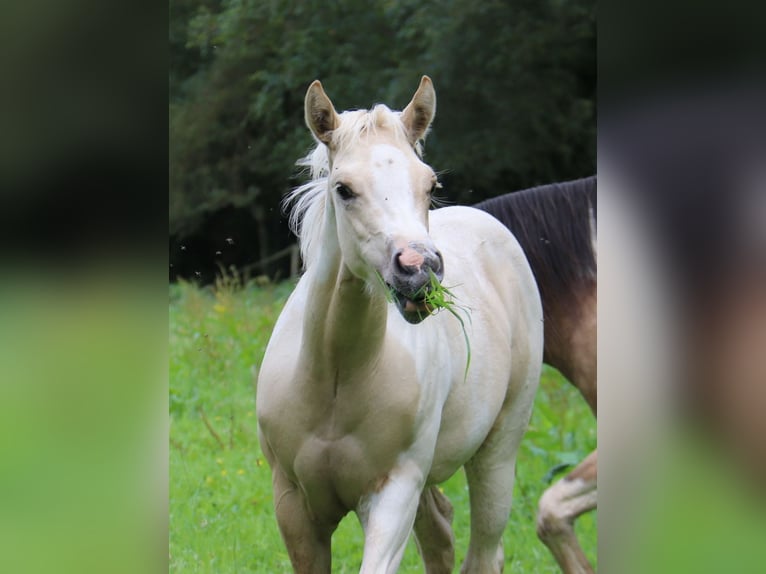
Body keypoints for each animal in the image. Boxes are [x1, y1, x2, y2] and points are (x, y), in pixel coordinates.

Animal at [258, 77, 544, 574]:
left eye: (429, 185)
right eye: (343, 189)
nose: (419, 270)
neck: (335, 378)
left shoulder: (394, 494)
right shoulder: (293, 505)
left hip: (497, 455)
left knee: (482, 550)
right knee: (441, 534)